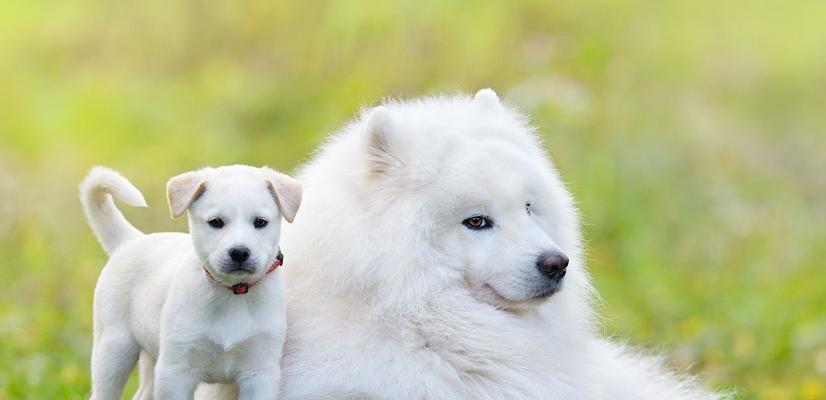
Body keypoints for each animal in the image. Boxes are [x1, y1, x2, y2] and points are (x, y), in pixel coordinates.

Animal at [79, 164, 300, 398]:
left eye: (260, 222)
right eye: (216, 222)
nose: (239, 252)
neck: (232, 293)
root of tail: (131, 240)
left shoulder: (260, 373)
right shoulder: (175, 371)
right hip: (113, 349)